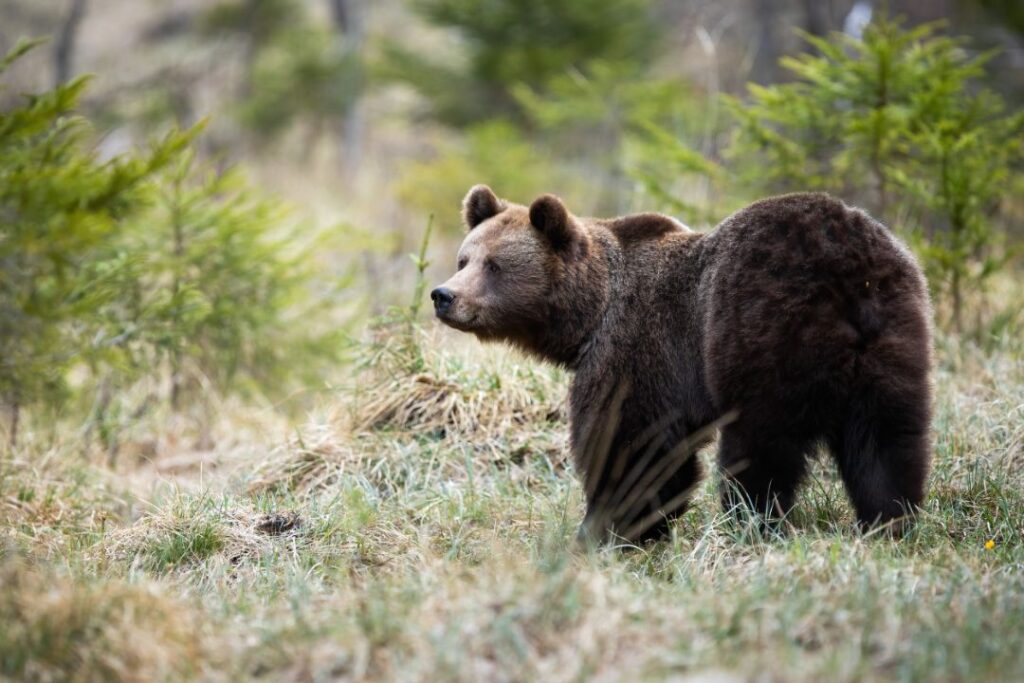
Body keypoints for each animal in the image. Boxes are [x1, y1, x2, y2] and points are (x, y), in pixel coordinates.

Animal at [431, 185, 932, 544]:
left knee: (761, 445)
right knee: (887, 438)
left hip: (758, 330)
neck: (589, 315)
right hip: (893, 336)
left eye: (494, 265)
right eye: (464, 258)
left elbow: (634, 444)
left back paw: (753, 522)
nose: (443, 295)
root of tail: (848, 272)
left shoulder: (637, 350)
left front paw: (604, 530)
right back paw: (890, 520)